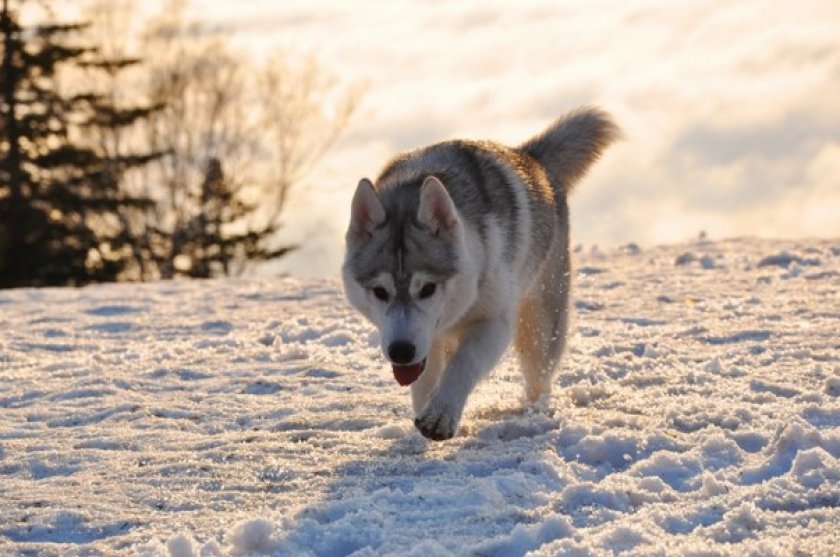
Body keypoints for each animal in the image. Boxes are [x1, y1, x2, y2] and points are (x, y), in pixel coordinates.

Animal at [340, 106, 616, 440]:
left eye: (427, 288)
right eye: (380, 291)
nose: (401, 351)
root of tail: (530, 157)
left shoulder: (493, 322)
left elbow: (464, 362)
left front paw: (440, 415)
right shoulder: (427, 340)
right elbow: (424, 379)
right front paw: (424, 413)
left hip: (540, 321)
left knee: (539, 375)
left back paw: (534, 411)